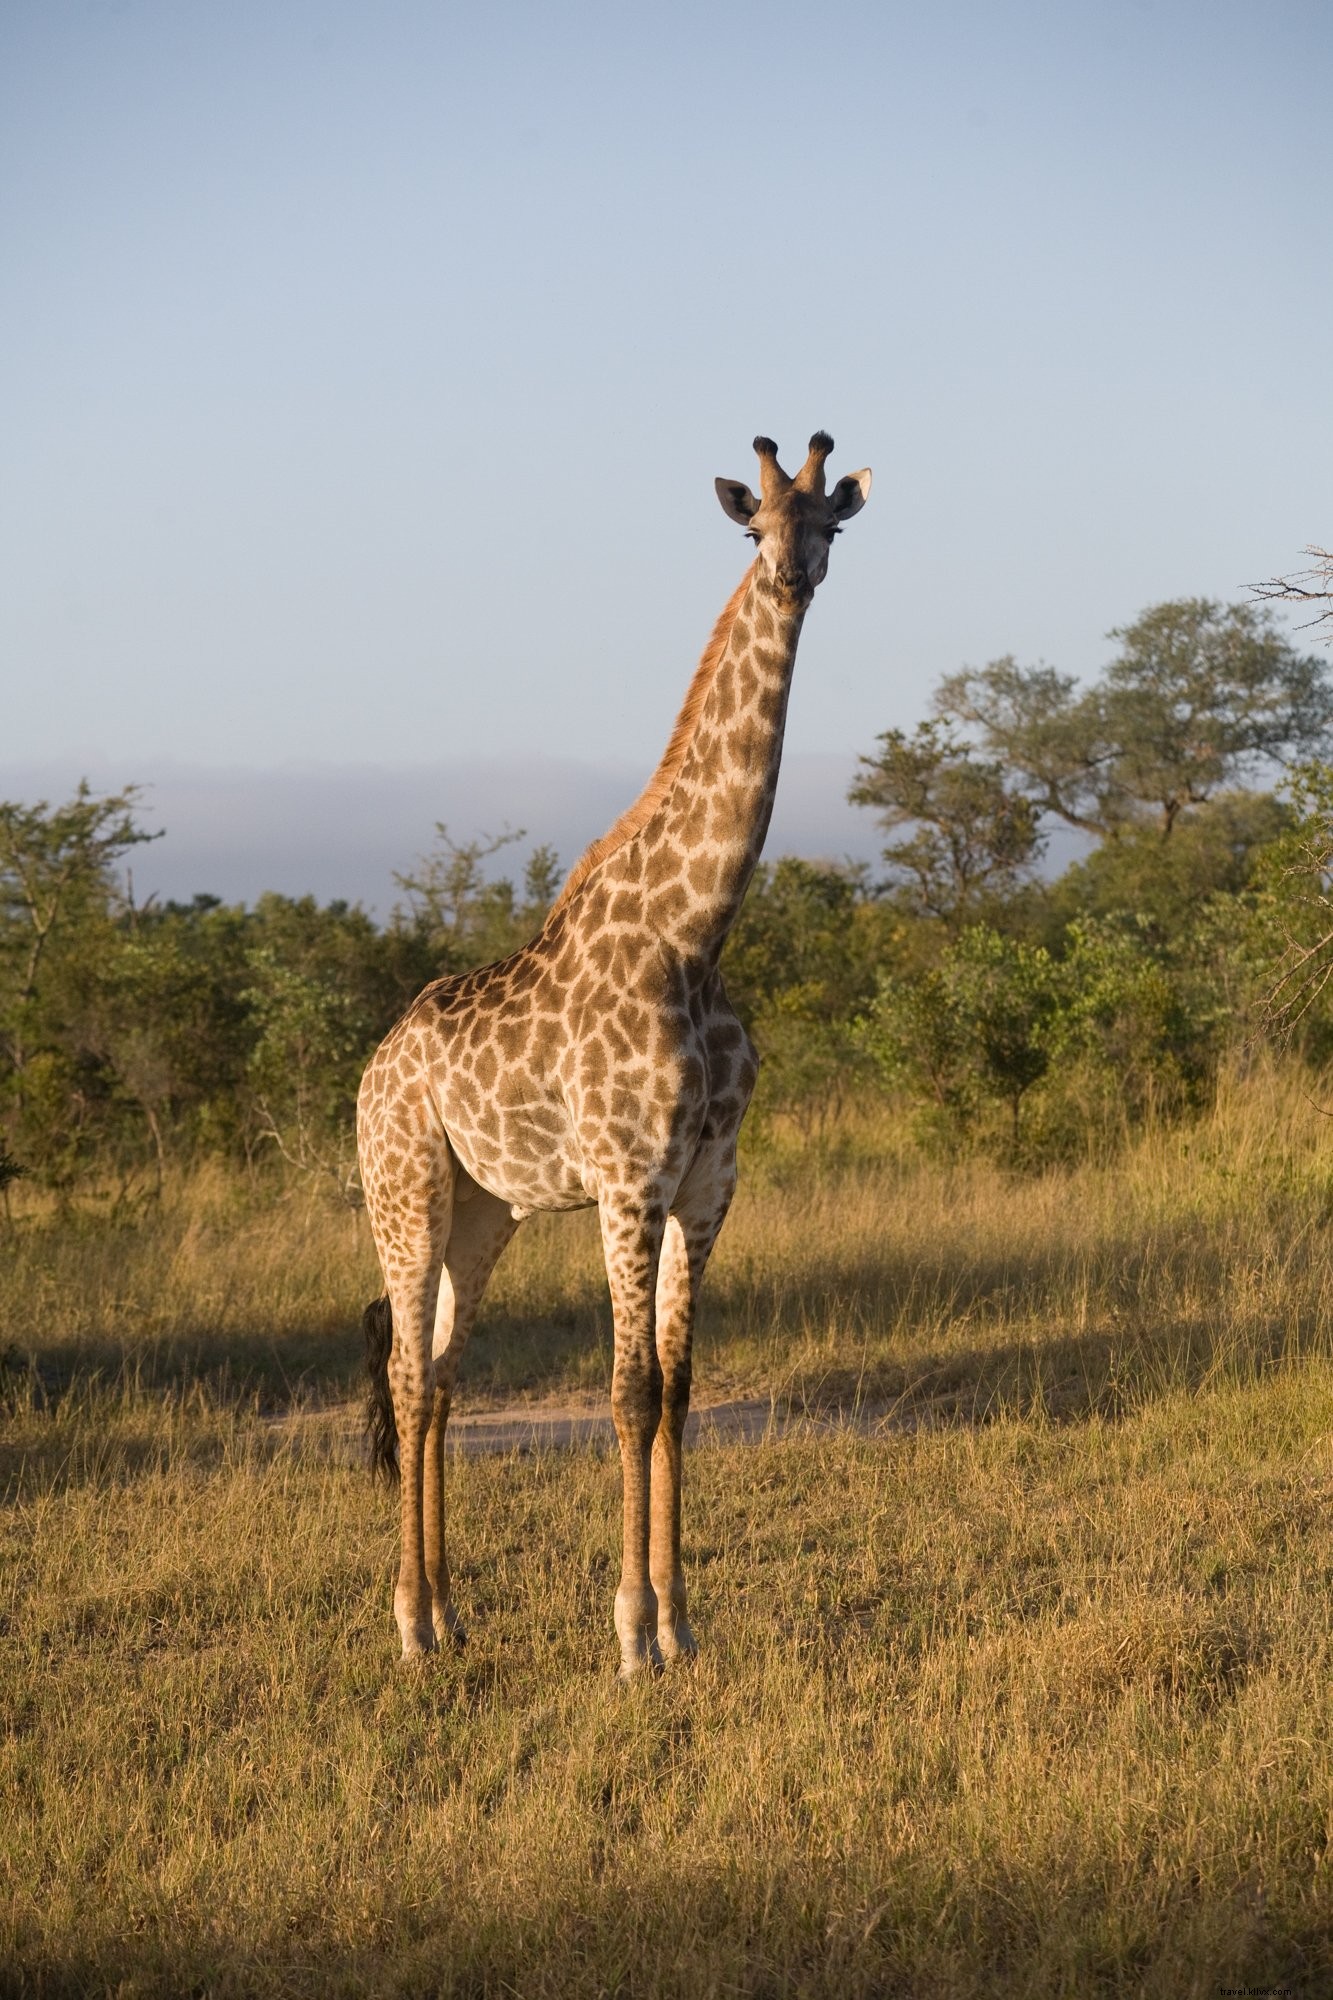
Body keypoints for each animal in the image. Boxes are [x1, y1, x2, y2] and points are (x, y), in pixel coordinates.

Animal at [357, 431, 872, 1676]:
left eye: (827, 522)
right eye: (754, 526)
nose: (791, 576)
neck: (693, 931)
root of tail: (372, 1067)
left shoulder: (708, 1181)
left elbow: (680, 1387)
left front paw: (683, 1620)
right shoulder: (628, 1177)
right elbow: (630, 1388)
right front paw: (635, 1632)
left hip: (484, 1208)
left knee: (440, 1376)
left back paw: (448, 1613)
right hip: (403, 1187)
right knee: (403, 1371)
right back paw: (407, 1622)